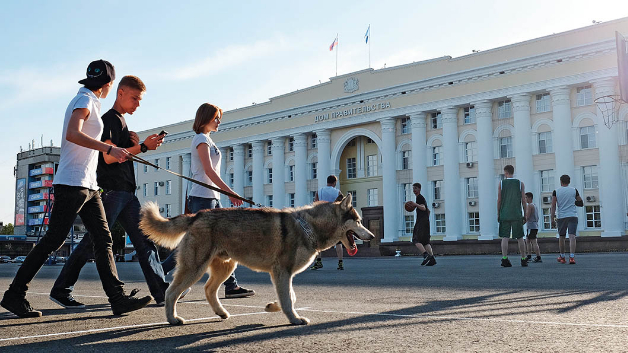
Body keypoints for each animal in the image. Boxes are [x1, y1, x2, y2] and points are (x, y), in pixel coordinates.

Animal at [140, 192, 372, 324]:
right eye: (359, 221)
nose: (372, 236)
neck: (308, 226)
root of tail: (197, 215)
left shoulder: (282, 274)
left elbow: (291, 297)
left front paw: (273, 306)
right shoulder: (282, 272)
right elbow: (289, 299)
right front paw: (294, 319)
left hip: (225, 267)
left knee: (208, 290)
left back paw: (221, 313)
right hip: (194, 268)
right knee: (171, 292)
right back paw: (172, 319)